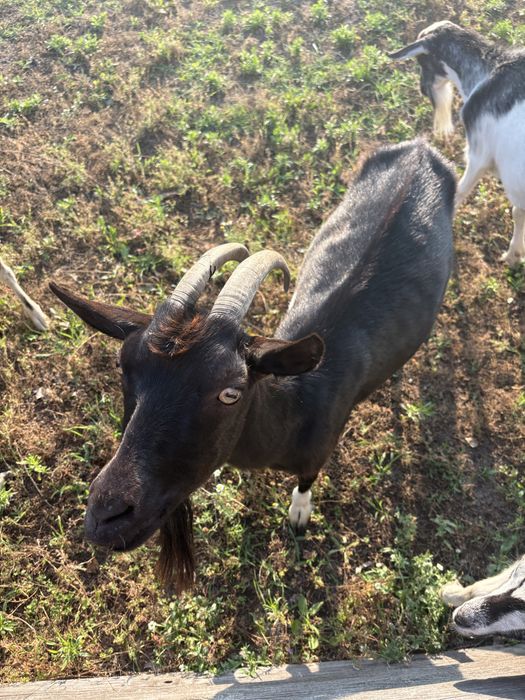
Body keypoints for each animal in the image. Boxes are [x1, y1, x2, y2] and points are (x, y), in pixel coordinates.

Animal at [49, 139, 455, 592]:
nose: (107, 516)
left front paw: (299, 513)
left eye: (231, 392)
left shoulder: (320, 450)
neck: (297, 405)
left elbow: (307, 481)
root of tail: (419, 149)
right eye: (123, 365)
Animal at [390, 20, 525, 266]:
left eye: (422, 61)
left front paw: (513, 254)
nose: (422, 89)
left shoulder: (480, 156)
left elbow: (461, 192)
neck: (486, 73)